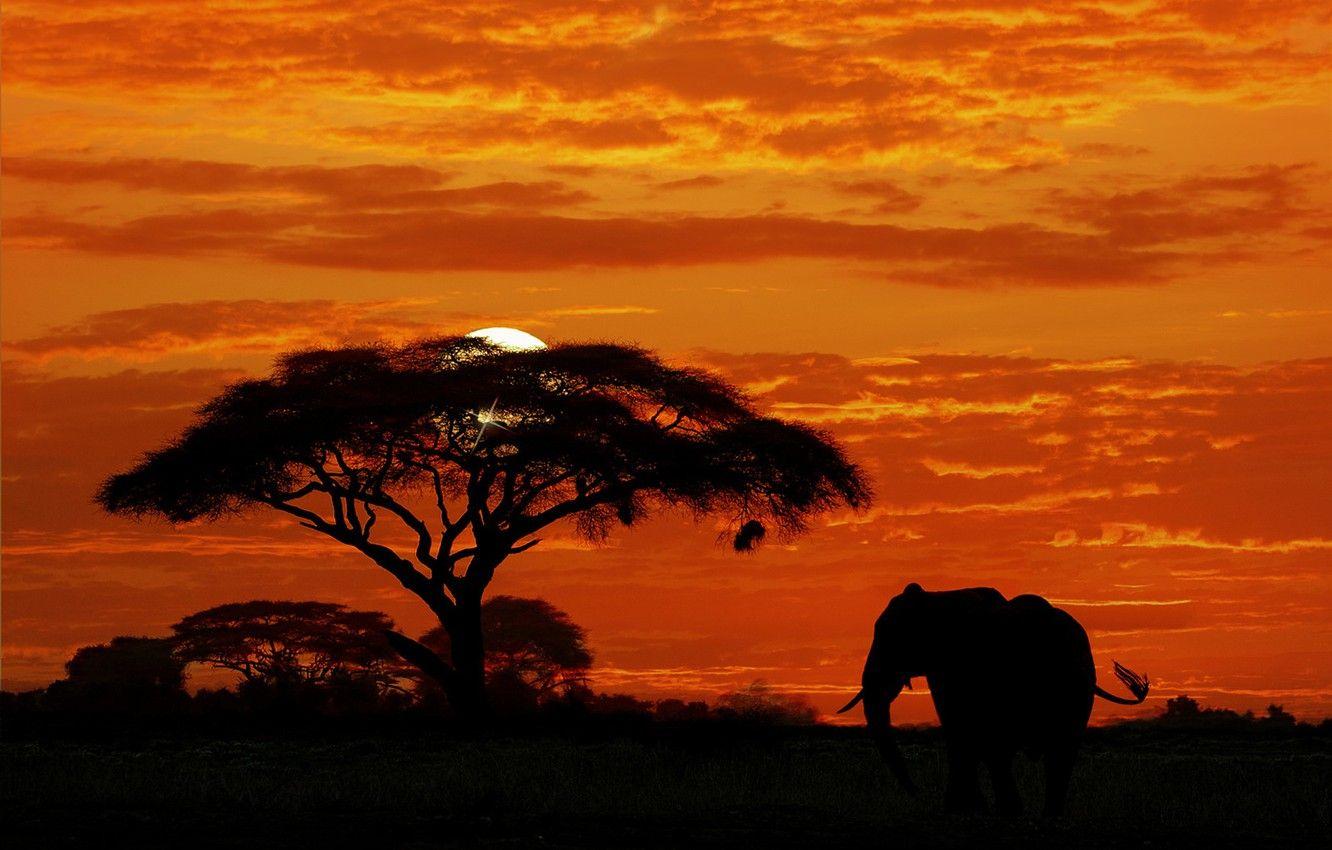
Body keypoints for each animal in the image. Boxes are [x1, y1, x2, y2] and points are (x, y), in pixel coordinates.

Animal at [838, 583, 1150, 816]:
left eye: (890, 637)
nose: (920, 794)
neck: (939, 598)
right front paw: (967, 810)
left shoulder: (956, 669)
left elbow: (964, 732)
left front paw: (964, 810)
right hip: (1075, 686)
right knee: (1059, 751)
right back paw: (1044, 816)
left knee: (1009, 747)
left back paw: (1014, 812)